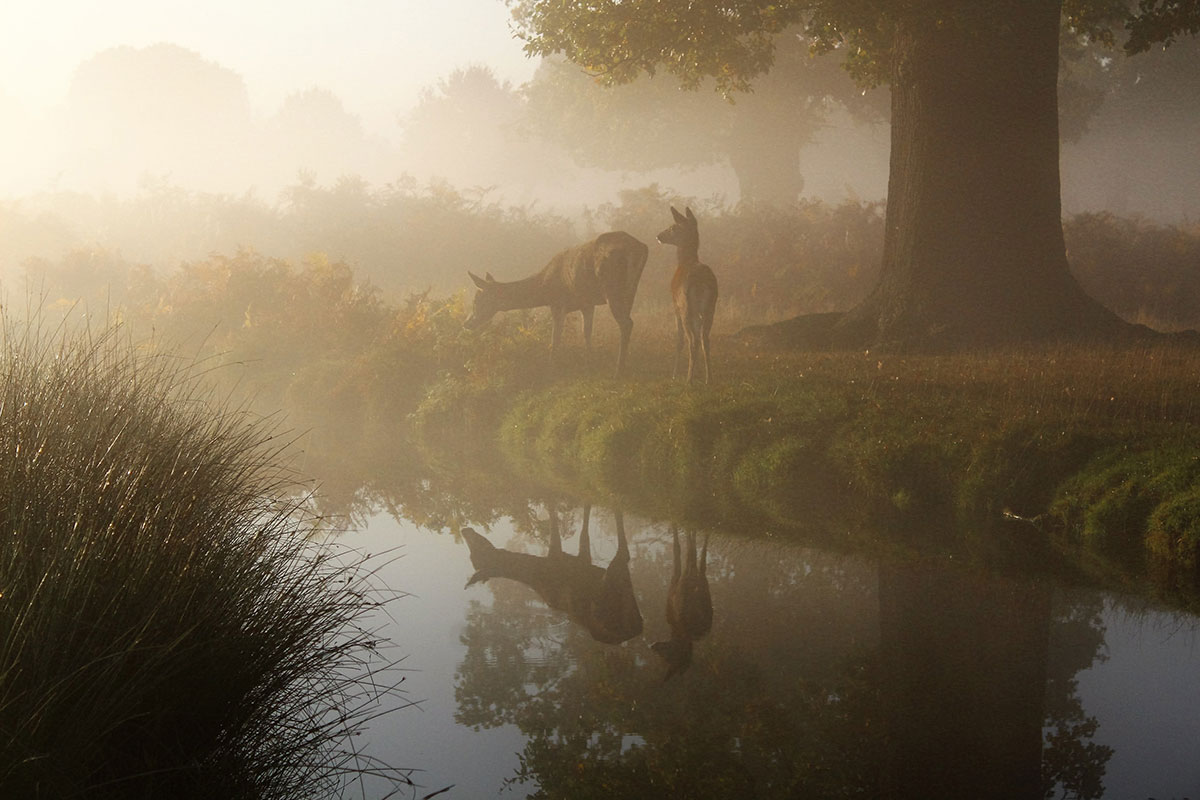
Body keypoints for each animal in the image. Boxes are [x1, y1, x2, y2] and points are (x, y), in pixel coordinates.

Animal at [460, 231, 648, 379]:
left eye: (476, 300)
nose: (467, 323)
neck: (544, 288)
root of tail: (640, 248)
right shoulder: (586, 303)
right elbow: (586, 332)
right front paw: (589, 361)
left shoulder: (557, 302)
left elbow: (555, 337)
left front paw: (551, 368)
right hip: (631, 289)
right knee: (628, 322)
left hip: (612, 287)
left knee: (626, 323)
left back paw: (619, 370)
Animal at [460, 506, 648, 642]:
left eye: (478, 551)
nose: (465, 530)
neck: (538, 571)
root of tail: (638, 627)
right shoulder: (579, 561)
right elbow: (583, 531)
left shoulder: (558, 556)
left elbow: (555, 517)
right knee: (625, 555)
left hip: (610, 588)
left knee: (624, 553)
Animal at [657, 205, 720, 383]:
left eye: (673, 227)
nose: (659, 235)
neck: (684, 261)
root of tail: (700, 281)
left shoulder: (675, 306)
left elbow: (679, 340)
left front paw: (674, 374)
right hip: (710, 307)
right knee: (705, 339)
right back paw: (709, 378)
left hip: (686, 306)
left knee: (692, 340)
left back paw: (689, 380)